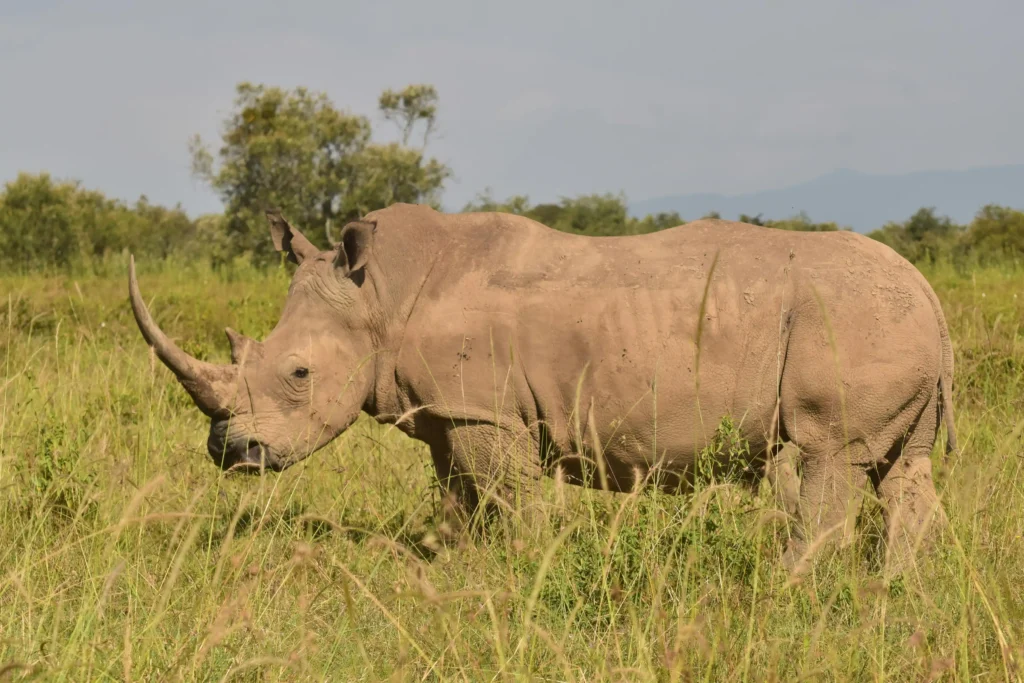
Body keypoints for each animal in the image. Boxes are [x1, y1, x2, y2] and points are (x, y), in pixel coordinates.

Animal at [128, 203, 956, 572]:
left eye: (298, 373)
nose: (231, 451)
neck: (382, 293)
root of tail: (929, 291)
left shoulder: (486, 411)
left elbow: (508, 498)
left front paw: (524, 566)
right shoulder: (455, 411)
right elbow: (457, 498)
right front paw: (446, 567)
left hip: (852, 321)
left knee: (826, 456)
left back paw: (786, 585)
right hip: (891, 322)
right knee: (902, 471)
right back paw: (894, 589)